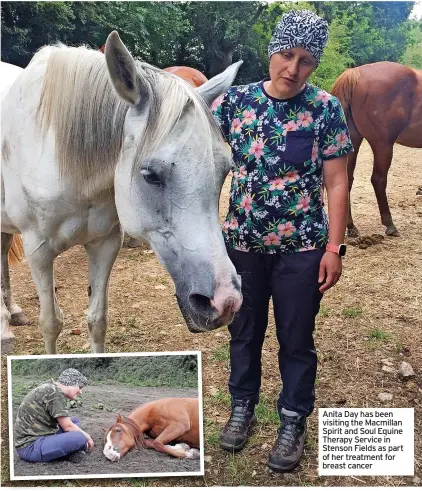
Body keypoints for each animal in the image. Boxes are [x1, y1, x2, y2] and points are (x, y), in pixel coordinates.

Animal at [332, 61, 420, 238]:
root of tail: (356, 72)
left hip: (353, 140)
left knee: (347, 179)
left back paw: (351, 226)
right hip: (382, 145)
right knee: (378, 180)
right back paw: (390, 225)